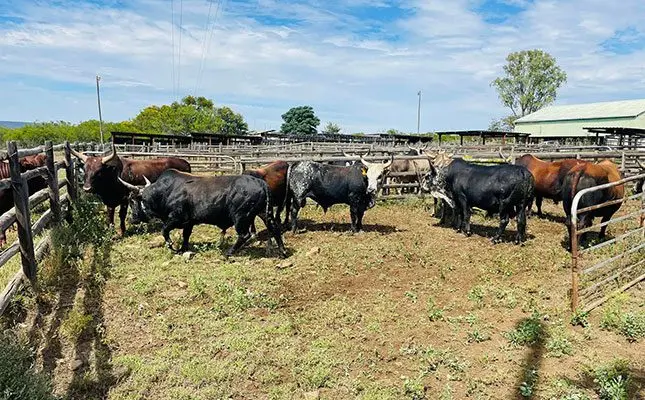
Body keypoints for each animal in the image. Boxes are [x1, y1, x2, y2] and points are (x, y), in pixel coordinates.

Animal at [118, 170, 287, 258]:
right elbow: (186, 235)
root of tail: (261, 183)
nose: (131, 219)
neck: (165, 192)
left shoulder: (175, 218)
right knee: (274, 228)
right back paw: (283, 251)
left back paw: (228, 253)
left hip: (241, 216)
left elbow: (164, 230)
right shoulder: (189, 222)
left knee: (244, 235)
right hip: (264, 213)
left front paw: (172, 247)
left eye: (132, 200)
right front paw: (182, 249)